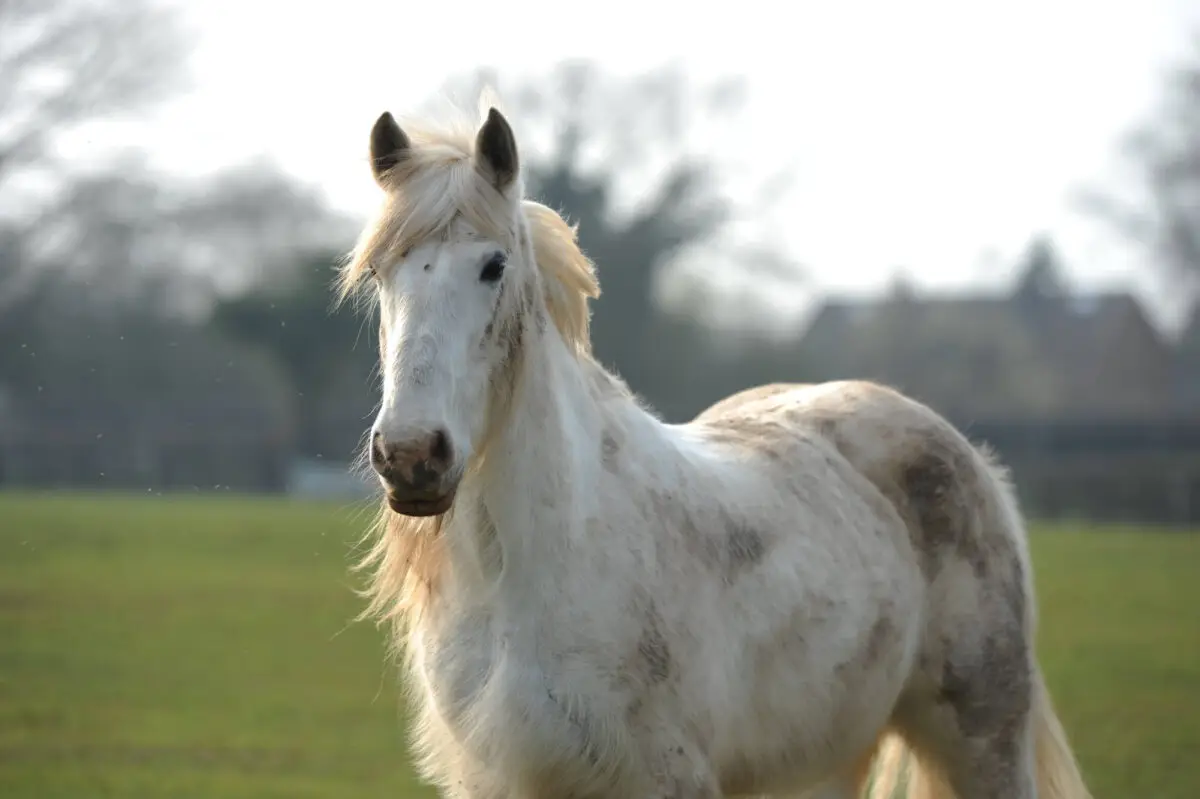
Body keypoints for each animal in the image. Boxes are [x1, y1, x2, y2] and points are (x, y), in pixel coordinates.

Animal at [335, 94, 1093, 799]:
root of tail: (971, 459)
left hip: (984, 742)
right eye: (379, 274)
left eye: (493, 266)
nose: (411, 456)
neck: (536, 566)